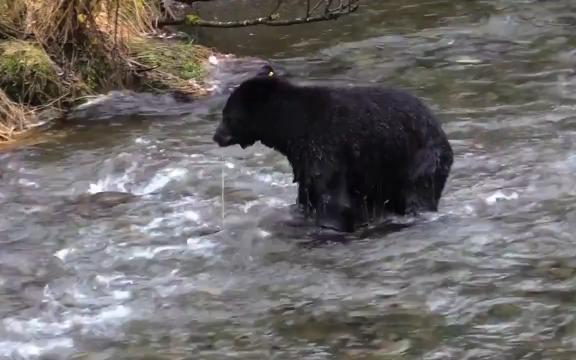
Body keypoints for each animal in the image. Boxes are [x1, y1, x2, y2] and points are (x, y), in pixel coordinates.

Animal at [213, 65, 454, 232]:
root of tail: (440, 128)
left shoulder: (326, 145)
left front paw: (328, 226)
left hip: (421, 159)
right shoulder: (303, 159)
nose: (216, 136)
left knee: (419, 193)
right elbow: (307, 192)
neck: (292, 126)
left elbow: (332, 197)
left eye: (227, 115)